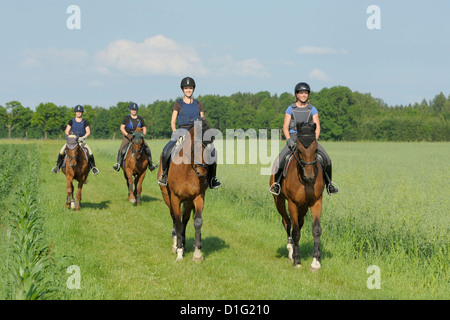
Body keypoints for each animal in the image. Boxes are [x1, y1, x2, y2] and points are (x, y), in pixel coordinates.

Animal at [156, 120, 216, 262]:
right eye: (197, 148)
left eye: (211, 151)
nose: (202, 173)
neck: (187, 170)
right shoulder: (175, 198)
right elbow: (177, 221)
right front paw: (179, 252)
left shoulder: (198, 196)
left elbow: (197, 221)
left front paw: (197, 253)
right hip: (167, 196)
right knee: (174, 218)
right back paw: (176, 244)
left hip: (188, 201)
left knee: (185, 219)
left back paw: (183, 243)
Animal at [268, 122, 326, 270]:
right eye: (299, 150)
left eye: (315, 148)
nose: (310, 176)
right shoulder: (292, 203)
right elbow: (295, 232)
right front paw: (297, 261)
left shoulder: (316, 202)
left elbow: (316, 230)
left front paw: (315, 261)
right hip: (279, 201)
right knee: (287, 223)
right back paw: (290, 251)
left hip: (303, 206)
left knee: (299, 223)